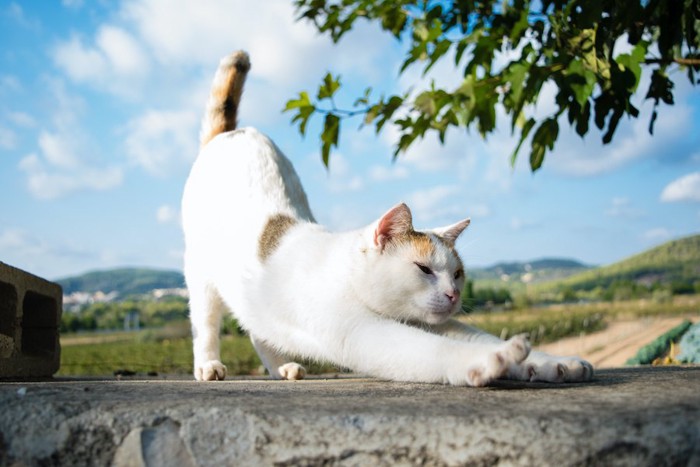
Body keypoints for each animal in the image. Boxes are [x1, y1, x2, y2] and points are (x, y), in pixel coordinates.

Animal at [180, 51, 592, 388]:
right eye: (424, 269)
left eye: (458, 274)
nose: (454, 294)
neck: (350, 277)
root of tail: (230, 133)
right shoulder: (363, 333)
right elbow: (434, 351)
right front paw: (493, 360)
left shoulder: (439, 323)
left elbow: (479, 336)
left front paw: (554, 363)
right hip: (201, 279)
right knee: (206, 326)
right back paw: (209, 366)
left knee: (256, 328)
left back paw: (282, 368)